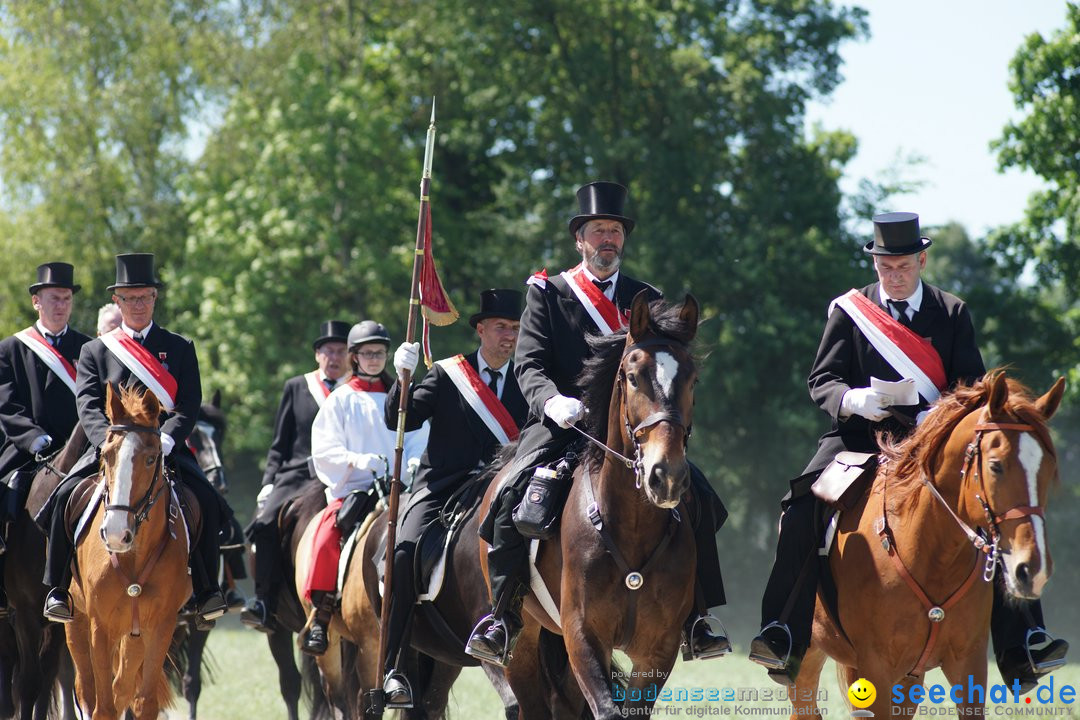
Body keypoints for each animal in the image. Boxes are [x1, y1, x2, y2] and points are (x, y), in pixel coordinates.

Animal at [66, 388, 191, 720]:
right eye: (107, 455)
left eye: (151, 458)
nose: (115, 533)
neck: (133, 556)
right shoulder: (100, 627)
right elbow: (103, 706)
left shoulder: (160, 627)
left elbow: (143, 701)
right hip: (76, 622)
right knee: (85, 689)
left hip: (135, 636)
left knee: (122, 688)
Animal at [790, 371, 1067, 720]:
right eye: (995, 466)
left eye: (1048, 469)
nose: (1032, 569)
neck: (932, 554)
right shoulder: (875, 668)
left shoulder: (968, 663)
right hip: (809, 659)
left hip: (909, 679)